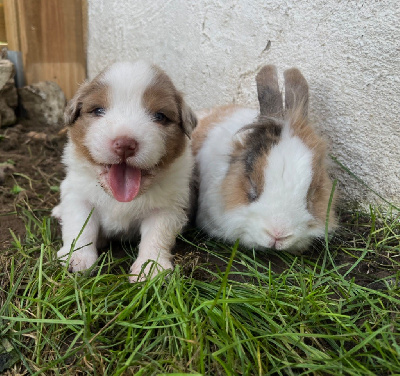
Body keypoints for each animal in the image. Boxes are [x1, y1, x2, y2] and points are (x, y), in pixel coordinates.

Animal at [53, 60, 197, 280]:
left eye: (160, 116)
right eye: (98, 111)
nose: (125, 144)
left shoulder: (168, 207)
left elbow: (157, 234)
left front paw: (151, 268)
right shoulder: (78, 194)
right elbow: (80, 226)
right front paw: (77, 258)